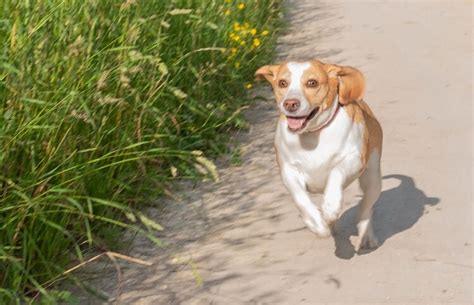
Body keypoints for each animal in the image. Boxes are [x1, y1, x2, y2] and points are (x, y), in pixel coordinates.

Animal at [256, 60, 382, 249]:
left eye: (312, 83)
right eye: (282, 83)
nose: (290, 104)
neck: (313, 135)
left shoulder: (353, 159)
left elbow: (336, 172)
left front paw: (330, 206)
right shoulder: (288, 171)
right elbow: (300, 198)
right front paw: (317, 224)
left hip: (372, 177)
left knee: (366, 208)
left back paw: (366, 236)